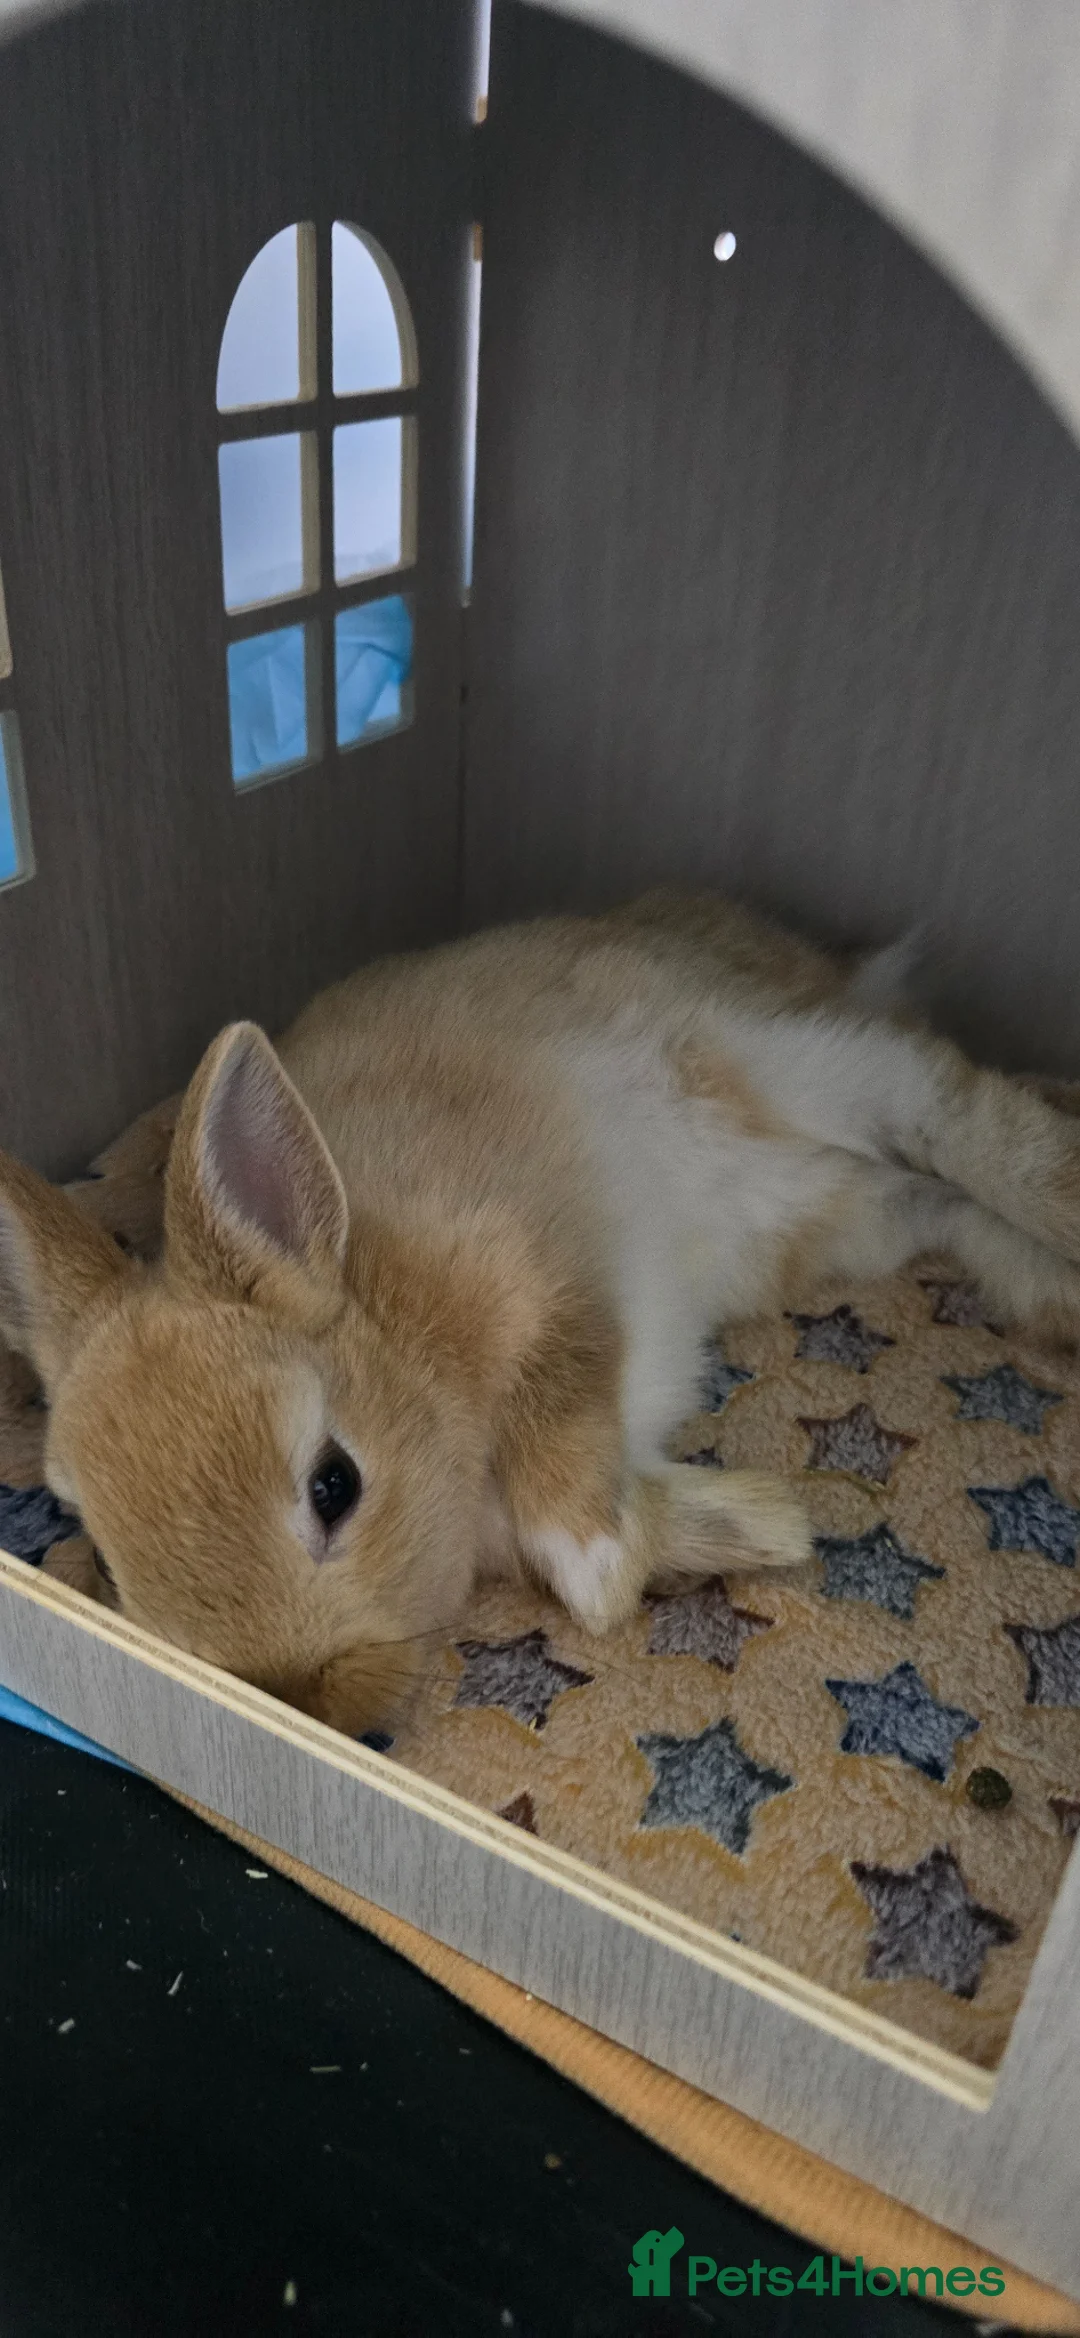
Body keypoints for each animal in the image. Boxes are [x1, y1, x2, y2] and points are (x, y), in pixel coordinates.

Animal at [3, 885, 1080, 1741]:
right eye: (105, 1560)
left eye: (334, 1485)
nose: (305, 1702)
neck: (391, 1330)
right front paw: (765, 1529)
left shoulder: (551, 1279)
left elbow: (565, 1419)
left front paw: (602, 1565)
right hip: (845, 1211)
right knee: (947, 1202)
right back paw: (1060, 1307)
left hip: (781, 1053)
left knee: (959, 1115)